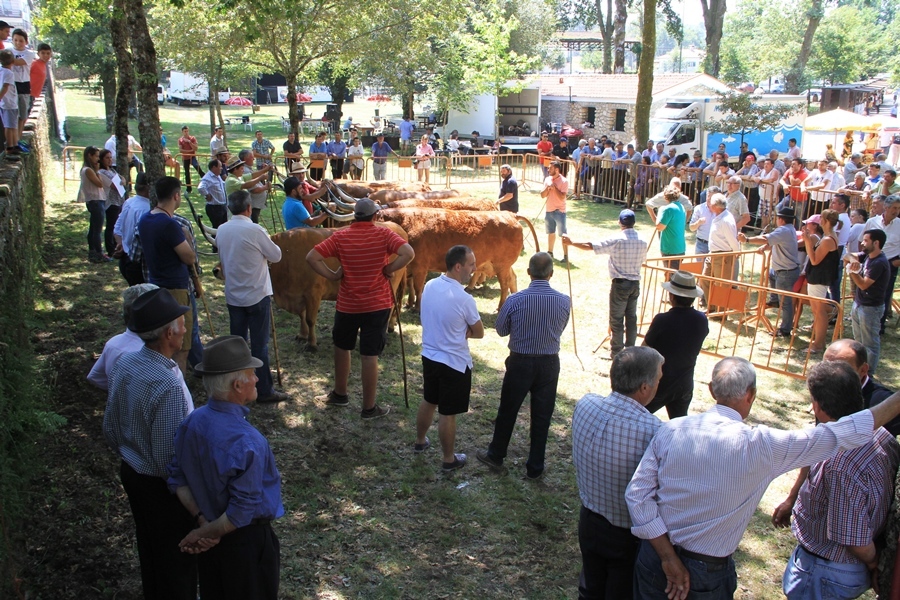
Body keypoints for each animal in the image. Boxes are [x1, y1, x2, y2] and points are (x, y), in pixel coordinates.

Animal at [268, 223, 408, 350]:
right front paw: (302, 335)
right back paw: (390, 326)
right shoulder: (299, 295)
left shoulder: (313, 293)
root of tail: (396, 226)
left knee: (391, 306)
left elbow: (310, 319)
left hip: (392, 283)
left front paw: (311, 344)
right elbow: (301, 316)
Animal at [378, 207, 520, 310]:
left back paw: (501, 307)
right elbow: (411, 285)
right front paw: (409, 303)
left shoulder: (420, 267)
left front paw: (417, 307)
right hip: (503, 266)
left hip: (502, 266)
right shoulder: (410, 268)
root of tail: (510, 215)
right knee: (513, 278)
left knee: (505, 284)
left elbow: (418, 288)